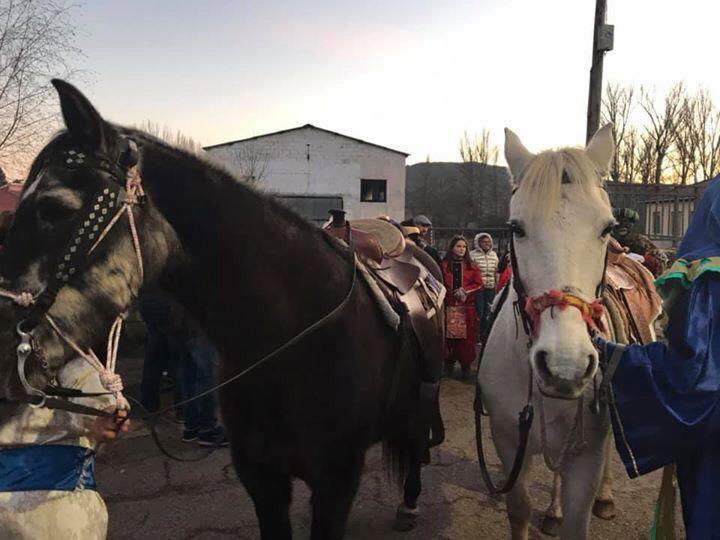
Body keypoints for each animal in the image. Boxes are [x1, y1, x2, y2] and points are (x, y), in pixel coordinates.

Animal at [0, 81, 444, 540]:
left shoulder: (335, 483)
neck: (291, 334)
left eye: (54, 209)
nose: (5, 352)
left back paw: (410, 502)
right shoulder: (261, 478)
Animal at [478, 124, 620, 536]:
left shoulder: (587, 453)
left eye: (608, 227)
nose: (564, 366)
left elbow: (578, 520)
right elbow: (520, 508)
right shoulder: (509, 440)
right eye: (516, 228)